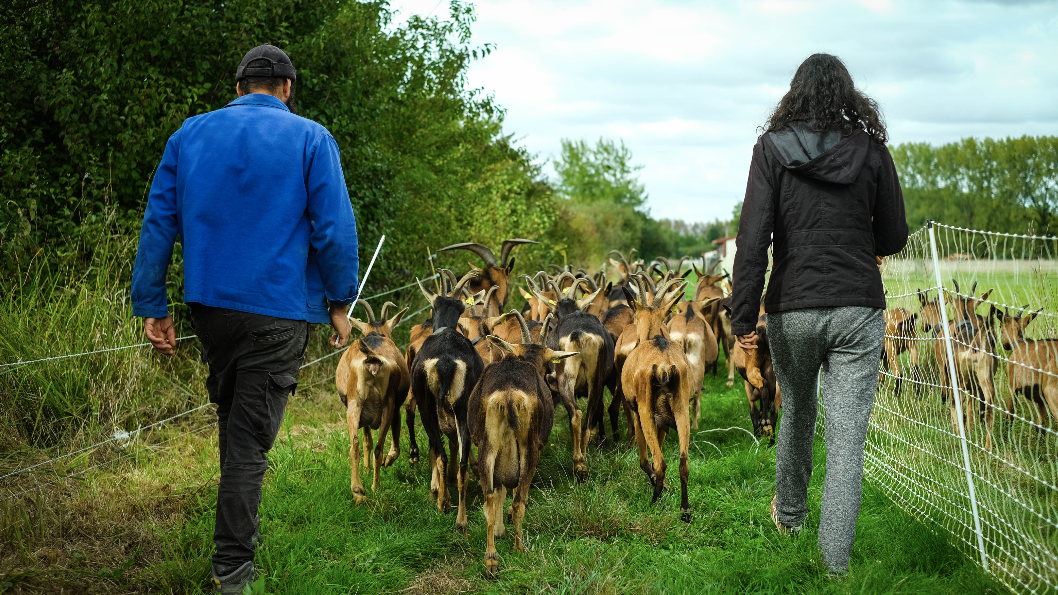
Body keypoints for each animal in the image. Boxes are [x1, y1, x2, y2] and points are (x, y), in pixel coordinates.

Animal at [334, 300, 408, 499]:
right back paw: (375, 487)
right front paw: (388, 461)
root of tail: (372, 357)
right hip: (386, 406)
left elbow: (367, 441)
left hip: (355, 405)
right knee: (377, 448)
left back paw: (358, 490)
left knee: (355, 445)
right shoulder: (396, 408)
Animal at [471, 311, 575, 575]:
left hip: (487, 447)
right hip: (530, 449)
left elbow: (499, 491)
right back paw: (520, 548)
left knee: (488, 500)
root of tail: (508, 394)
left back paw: (491, 560)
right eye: (548, 363)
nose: (550, 378)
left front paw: (499, 531)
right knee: (520, 501)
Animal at [617, 277, 694, 518]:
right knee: (683, 461)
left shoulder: (638, 411)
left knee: (660, 463)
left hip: (645, 412)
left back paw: (653, 503)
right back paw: (685, 510)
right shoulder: (664, 420)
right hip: (681, 411)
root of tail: (664, 365)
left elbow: (645, 459)